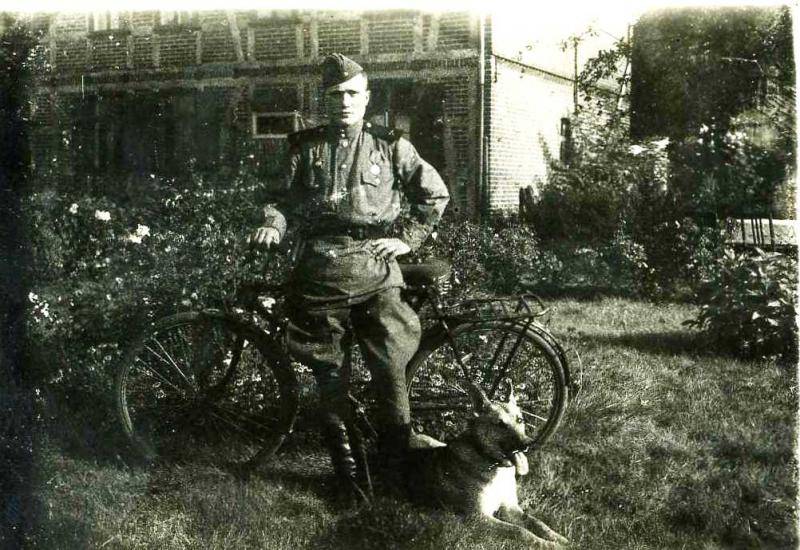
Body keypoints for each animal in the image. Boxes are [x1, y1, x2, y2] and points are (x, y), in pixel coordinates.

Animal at [404, 381, 569, 548]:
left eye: (520, 420)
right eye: (500, 424)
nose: (527, 444)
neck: (492, 463)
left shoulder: (511, 508)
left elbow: (536, 522)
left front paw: (557, 537)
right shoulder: (478, 518)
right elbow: (519, 531)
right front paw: (550, 545)